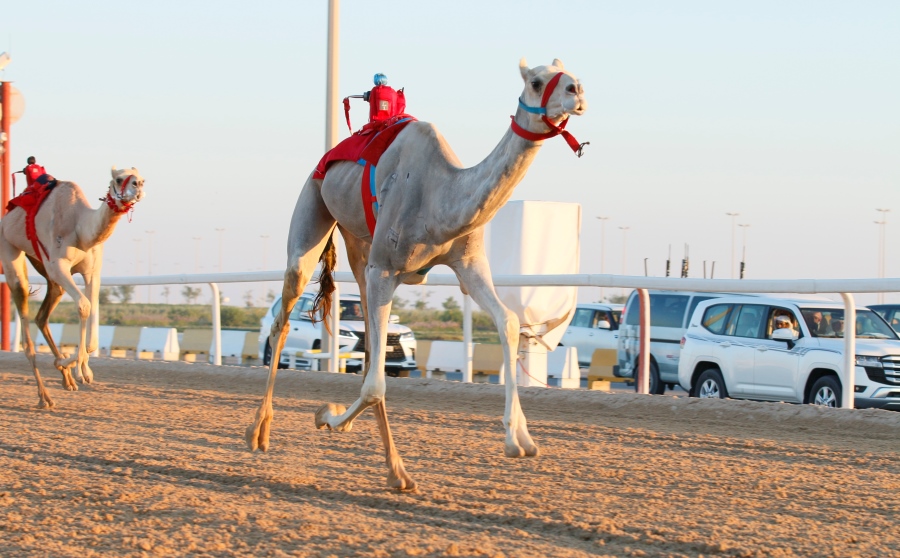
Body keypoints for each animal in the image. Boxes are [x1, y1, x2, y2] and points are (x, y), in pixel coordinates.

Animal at [246, 59, 588, 492]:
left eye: (569, 75)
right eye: (537, 81)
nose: (577, 92)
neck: (440, 198)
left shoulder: (468, 264)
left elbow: (508, 321)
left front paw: (520, 439)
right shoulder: (386, 268)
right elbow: (376, 384)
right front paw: (327, 416)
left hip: (360, 248)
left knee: (367, 336)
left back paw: (392, 467)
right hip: (314, 205)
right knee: (284, 317)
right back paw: (259, 431)